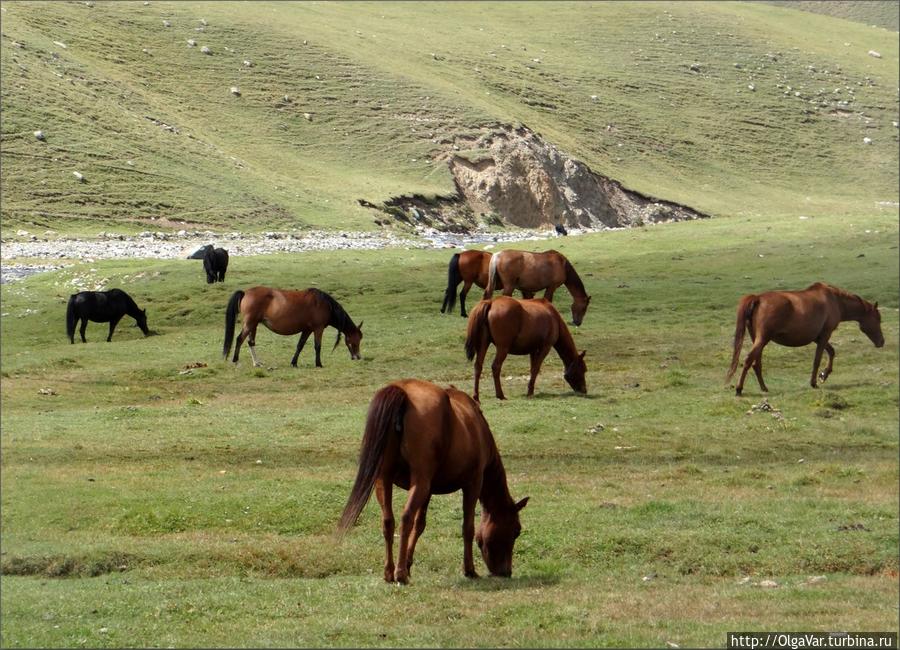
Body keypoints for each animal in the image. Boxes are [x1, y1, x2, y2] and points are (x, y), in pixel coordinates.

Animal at [223, 286, 364, 368]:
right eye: (356, 340)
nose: (358, 357)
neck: (324, 304)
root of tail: (245, 292)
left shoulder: (307, 330)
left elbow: (300, 345)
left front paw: (294, 363)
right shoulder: (318, 329)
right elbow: (317, 346)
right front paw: (318, 364)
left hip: (254, 325)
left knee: (250, 342)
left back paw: (256, 363)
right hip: (250, 324)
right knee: (240, 339)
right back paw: (236, 361)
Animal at [338, 374, 528, 584]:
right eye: (516, 530)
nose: (506, 572)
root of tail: (402, 390)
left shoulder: (428, 489)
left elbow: (420, 525)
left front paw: (408, 563)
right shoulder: (473, 483)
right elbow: (467, 527)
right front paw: (469, 569)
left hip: (385, 479)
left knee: (388, 521)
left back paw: (389, 571)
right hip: (419, 481)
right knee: (406, 518)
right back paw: (400, 574)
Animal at [464, 294, 592, 400]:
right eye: (583, 370)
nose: (584, 390)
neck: (554, 318)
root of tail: (491, 302)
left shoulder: (533, 350)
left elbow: (532, 369)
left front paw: (531, 389)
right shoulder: (545, 347)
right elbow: (536, 369)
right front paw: (530, 392)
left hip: (483, 344)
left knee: (478, 366)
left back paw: (476, 395)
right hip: (502, 348)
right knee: (496, 367)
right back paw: (500, 394)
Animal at [724, 280, 884, 392]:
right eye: (878, 319)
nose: (881, 342)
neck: (836, 301)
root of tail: (758, 298)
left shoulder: (818, 337)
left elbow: (831, 352)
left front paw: (824, 374)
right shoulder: (825, 335)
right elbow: (817, 359)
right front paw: (815, 382)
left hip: (757, 339)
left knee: (756, 363)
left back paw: (764, 388)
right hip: (762, 339)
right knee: (749, 360)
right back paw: (739, 389)